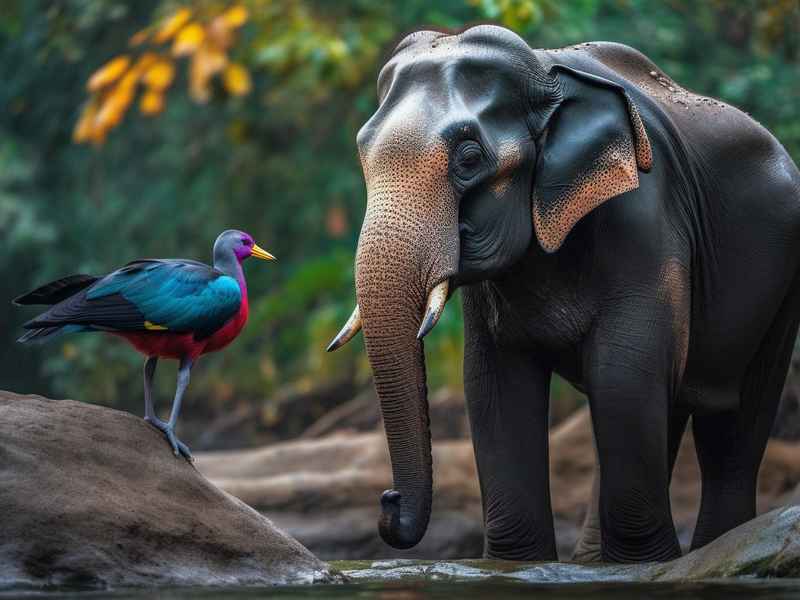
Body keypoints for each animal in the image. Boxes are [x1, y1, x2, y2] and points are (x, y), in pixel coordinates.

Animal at [327, 24, 800, 563]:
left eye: (469, 159)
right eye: (362, 151)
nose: (387, 499)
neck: (544, 71)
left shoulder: (645, 217)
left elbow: (624, 370)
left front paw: (639, 566)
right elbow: (494, 383)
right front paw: (518, 565)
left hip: (782, 280)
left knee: (730, 428)